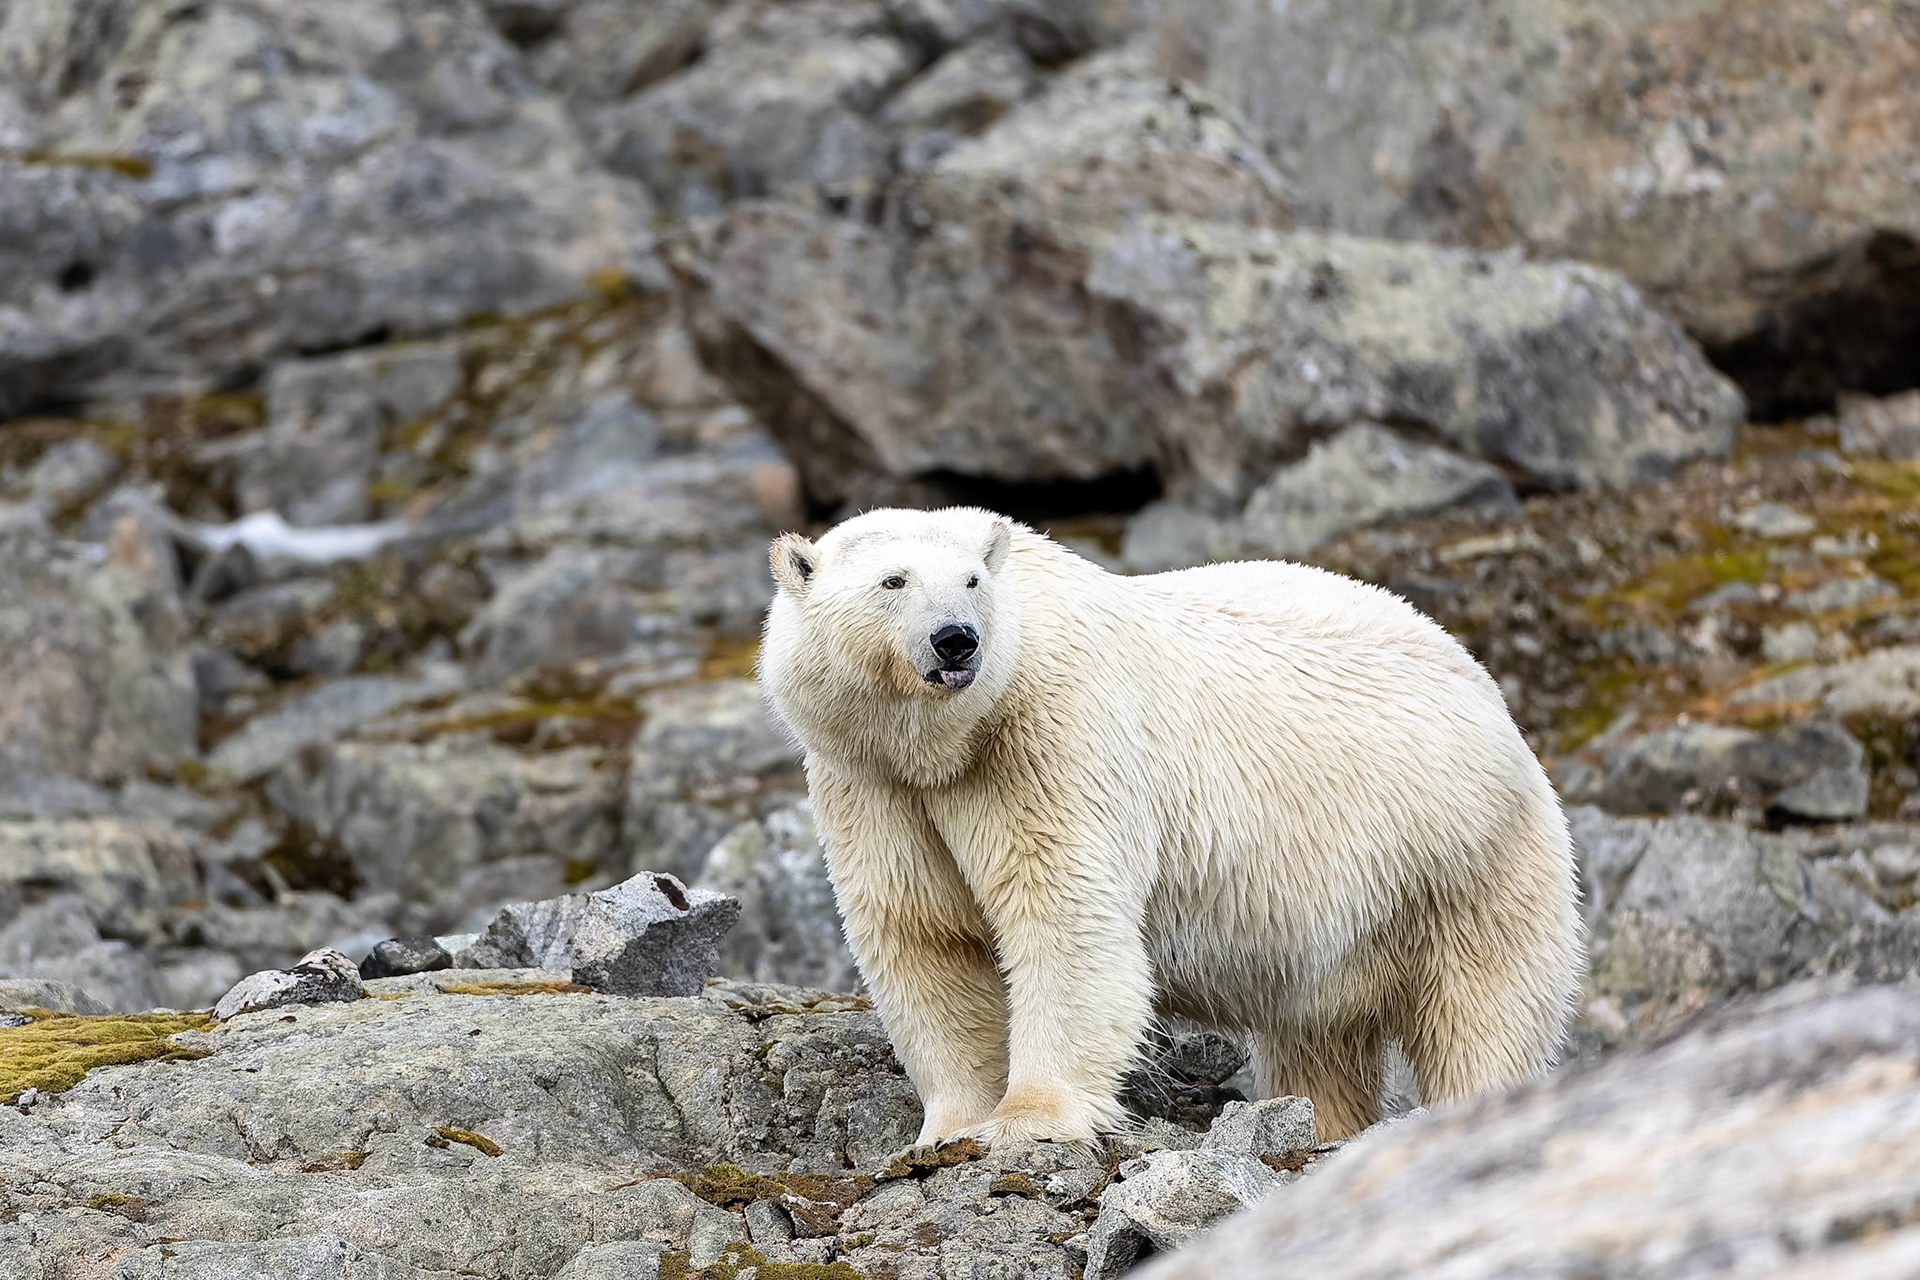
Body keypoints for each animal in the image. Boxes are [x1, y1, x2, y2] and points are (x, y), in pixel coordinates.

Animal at [758, 506, 1582, 1146]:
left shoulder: (1052, 737)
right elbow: (923, 932)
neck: (947, 742)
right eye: (893, 581)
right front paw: (947, 1127)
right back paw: (1318, 1120)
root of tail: (1485, 684)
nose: (957, 638)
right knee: (1318, 1042)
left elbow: (1064, 916)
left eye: (971, 582)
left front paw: (1029, 1117)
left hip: (1464, 855)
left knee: (1483, 1014)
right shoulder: (871, 782)